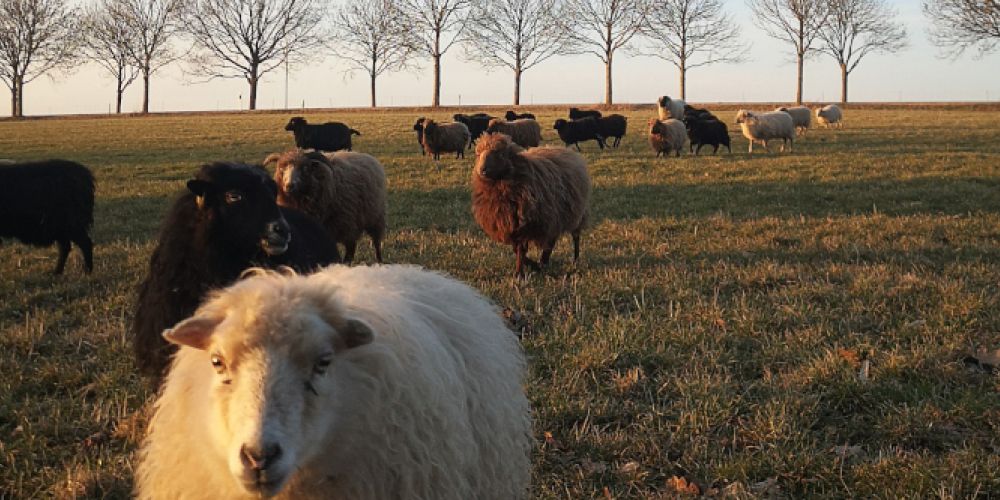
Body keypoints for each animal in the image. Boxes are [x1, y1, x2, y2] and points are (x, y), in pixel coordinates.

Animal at [472, 133, 591, 277]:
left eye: (500, 154)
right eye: (478, 154)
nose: (482, 170)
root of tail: (569, 152)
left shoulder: (527, 224)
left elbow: (521, 250)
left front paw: (519, 274)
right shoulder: (512, 225)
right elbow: (515, 249)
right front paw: (531, 266)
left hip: (575, 212)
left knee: (575, 236)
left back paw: (575, 259)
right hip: (555, 217)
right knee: (551, 241)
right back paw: (543, 262)